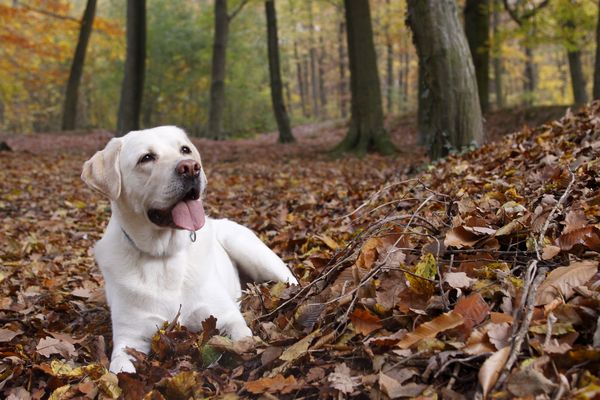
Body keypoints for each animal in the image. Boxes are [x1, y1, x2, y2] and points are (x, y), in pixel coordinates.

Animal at [82, 126, 298, 374]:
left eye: (185, 150)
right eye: (146, 158)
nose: (191, 167)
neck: (164, 256)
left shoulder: (225, 315)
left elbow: (242, 336)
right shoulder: (129, 338)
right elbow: (120, 369)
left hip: (249, 249)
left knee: (291, 279)